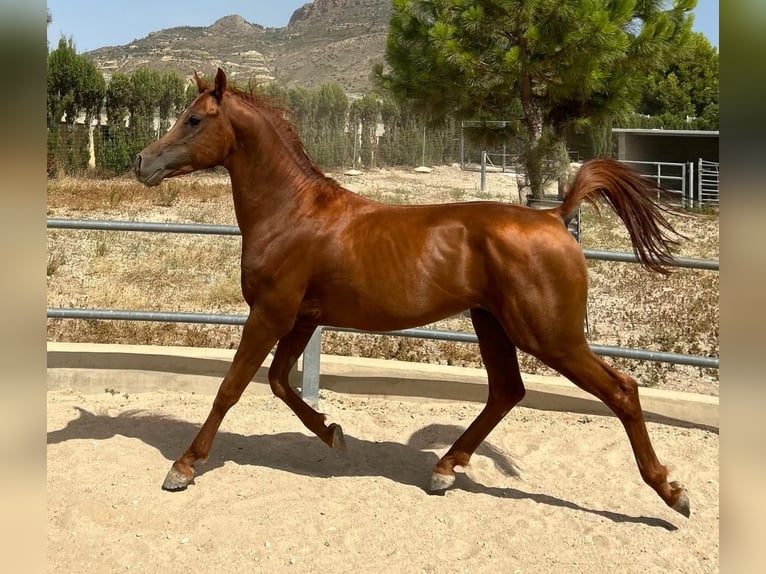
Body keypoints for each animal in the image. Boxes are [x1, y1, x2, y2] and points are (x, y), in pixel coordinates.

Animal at [135, 70, 692, 520]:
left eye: (194, 119)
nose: (142, 162)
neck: (293, 213)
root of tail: (555, 217)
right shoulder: (302, 317)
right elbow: (278, 382)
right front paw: (332, 431)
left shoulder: (271, 314)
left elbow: (232, 387)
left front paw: (183, 467)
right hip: (491, 323)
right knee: (506, 391)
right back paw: (445, 469)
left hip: (551, 336)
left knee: (621, 390)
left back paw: (672, 493)